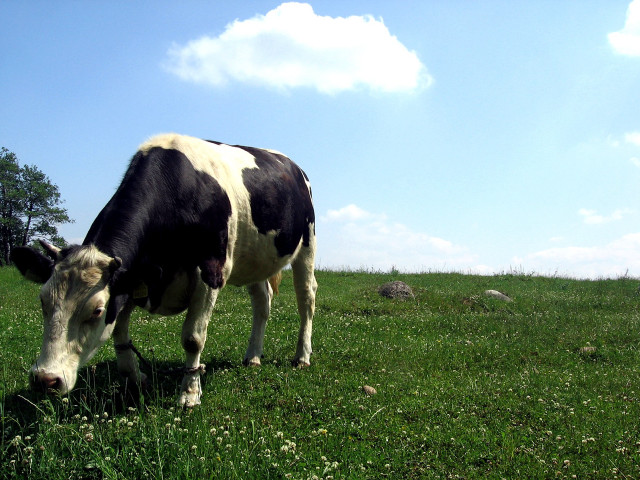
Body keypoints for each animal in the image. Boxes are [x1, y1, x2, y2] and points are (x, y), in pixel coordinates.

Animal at [11, 133, 317, 407]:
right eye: (43, 301)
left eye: (96, 310)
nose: (45, 379)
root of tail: (293, 165)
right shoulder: (134, 278)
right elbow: (119, 332)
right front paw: (135, 378)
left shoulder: (211, 271)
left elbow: (193, 339)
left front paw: (189, 393)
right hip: (255, 259)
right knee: (262, 301)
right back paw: (253, 355)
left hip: (307, 244)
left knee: (306, 298)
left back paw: (302, 356)